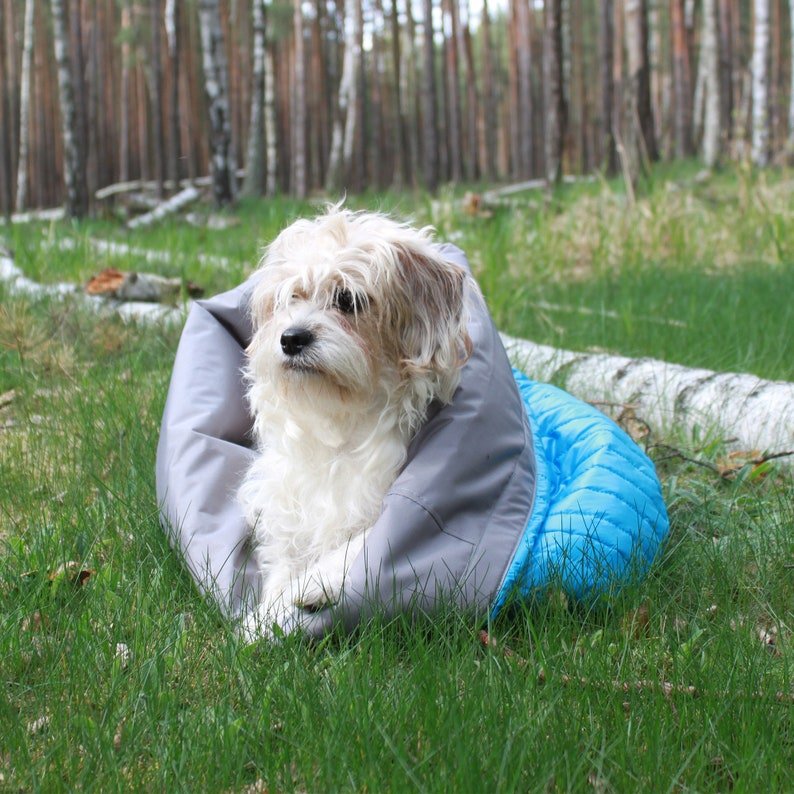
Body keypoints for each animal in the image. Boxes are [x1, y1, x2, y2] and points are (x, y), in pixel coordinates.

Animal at [238, 206, 468, 636]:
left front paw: (313, 583)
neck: (340, 422)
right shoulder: (287, 510)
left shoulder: (381, 503)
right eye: (291, 297)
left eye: (347, 299)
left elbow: (362, 541)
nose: (290, 338)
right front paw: (263, 620)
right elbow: (281, 568)